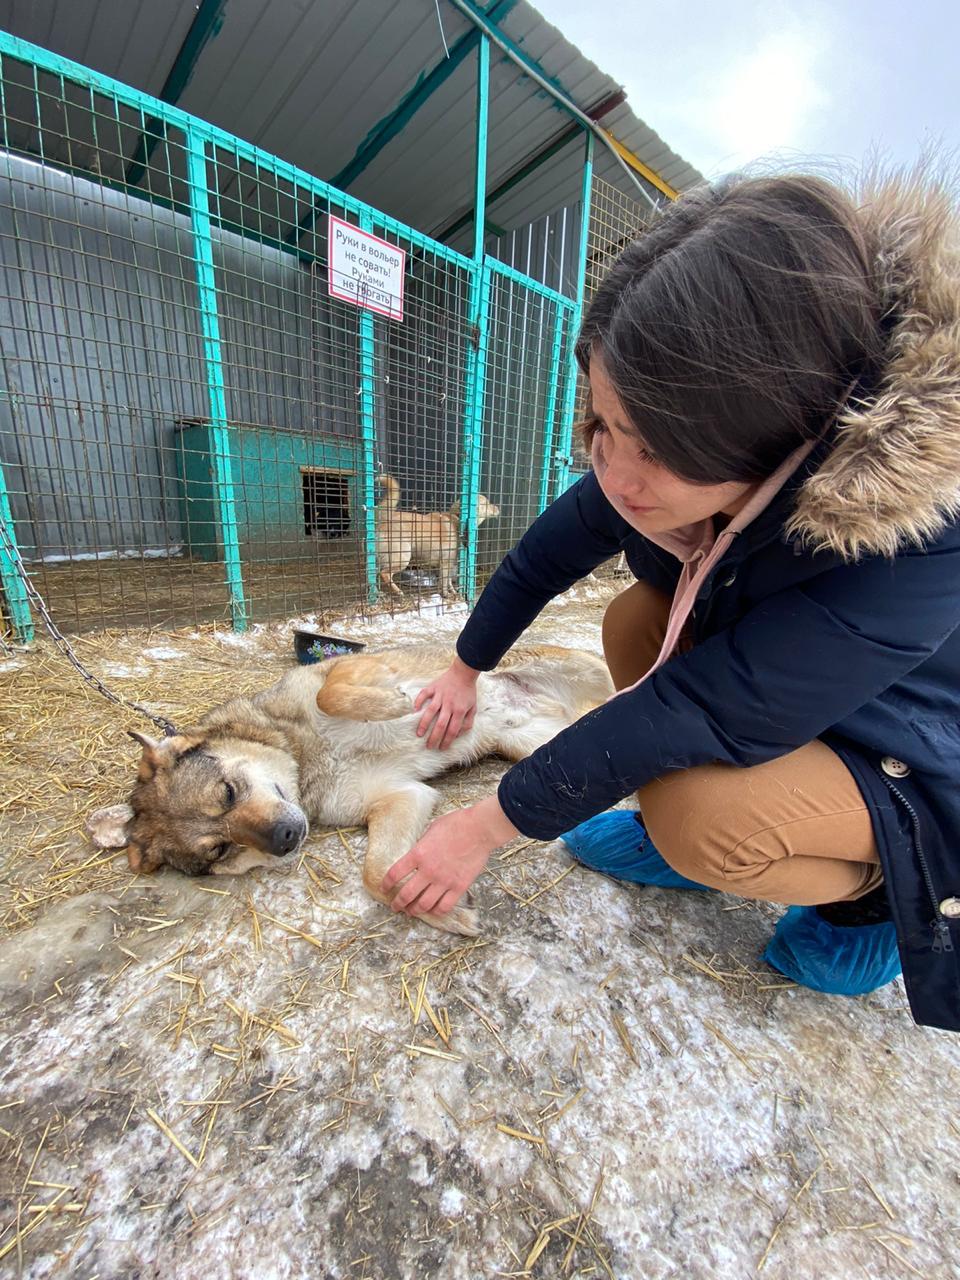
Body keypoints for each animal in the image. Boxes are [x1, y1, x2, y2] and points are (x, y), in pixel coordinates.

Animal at [92, 645, 616, 936]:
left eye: (226, 792)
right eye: (220, 850)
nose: (285, 838)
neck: (304, 753)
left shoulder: (347, 671)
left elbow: (333, 694)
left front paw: (402, 703)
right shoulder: (403, 797)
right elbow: (377, 876)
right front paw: (441, 912)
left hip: (589, 672)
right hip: (549, 754)